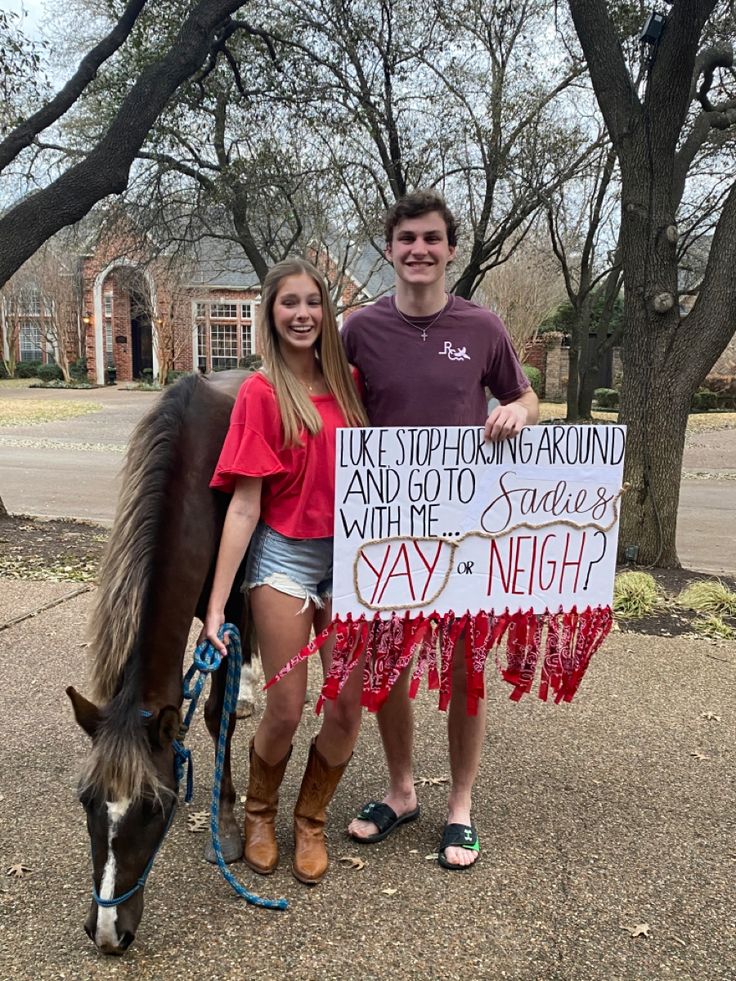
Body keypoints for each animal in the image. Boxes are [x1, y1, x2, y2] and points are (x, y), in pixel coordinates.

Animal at [67, 368, 250, 948]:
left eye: (153, 806)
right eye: (86, 799)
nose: (107, 933)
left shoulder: (234, 605)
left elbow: (215, 714)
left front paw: (226, 824)